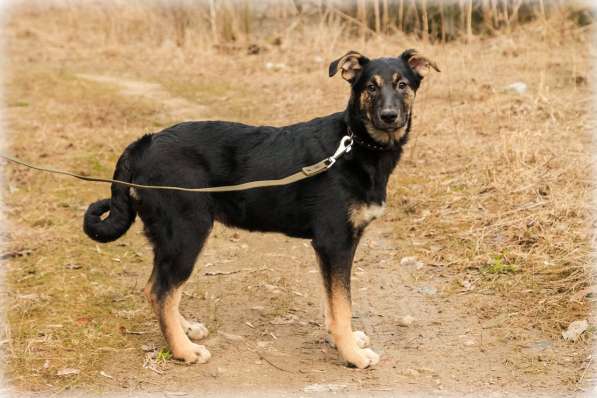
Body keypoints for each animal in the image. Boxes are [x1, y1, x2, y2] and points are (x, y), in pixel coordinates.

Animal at [82, 49, 438, 370]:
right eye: (371, 88)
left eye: (402, 85)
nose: (390, 116)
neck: (356, 145)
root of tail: (145, 143)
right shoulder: (335, 242)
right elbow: (342, 305)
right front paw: (351, 353)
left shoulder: (328, 247)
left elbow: (332, 301)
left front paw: (343, 339)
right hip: (187, 232)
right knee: (161, 291)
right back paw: (184, 351)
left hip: (172, 238)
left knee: (159, 288)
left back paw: (185, 330)